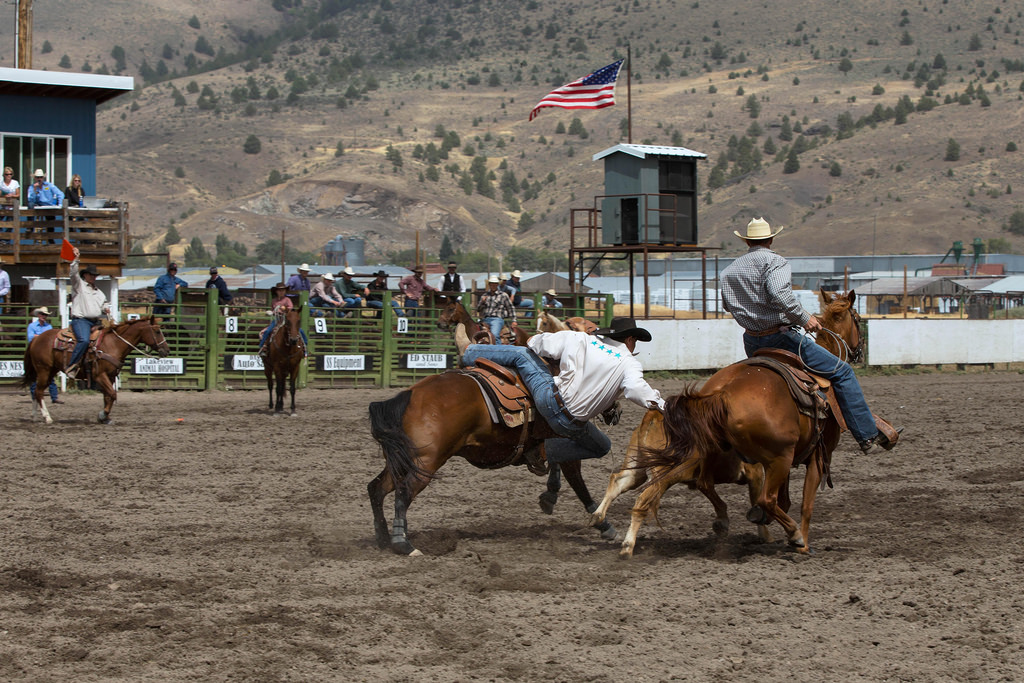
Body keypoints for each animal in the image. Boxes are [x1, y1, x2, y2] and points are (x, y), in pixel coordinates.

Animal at [22, 317, 169, 423]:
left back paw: (35, 416)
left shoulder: (110, 376)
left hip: (51, 371)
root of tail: (36, 338)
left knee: (36, 391)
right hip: (44, 370)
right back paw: (47, 417)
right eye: (157, 331)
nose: (166, 350)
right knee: (39, 391)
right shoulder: (99, 375)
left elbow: (107, 396)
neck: (113, 344)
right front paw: (102, 415)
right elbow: (112, 394)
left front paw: (106, 418)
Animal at [370, 370, 614, 557]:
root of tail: (409, 395)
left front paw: (550, 495)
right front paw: (603, 523)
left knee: (376, 488)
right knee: (402, 493)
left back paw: (382, 537)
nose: (615, 412)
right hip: (426, 464)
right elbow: (578, 483)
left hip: (402, 462)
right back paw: (403, 544)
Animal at [630, 290, 864, 557]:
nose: (860, 350)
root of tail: (722, 393)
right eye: (857, 319)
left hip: (718, 451)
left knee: (706, 483)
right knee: (766, 499)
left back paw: (727, 521)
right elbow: (806, 503)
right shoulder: (818, 456)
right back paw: (793, 534)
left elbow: (787, 500)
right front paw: (803, 543)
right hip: (779, 458)